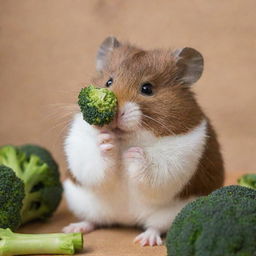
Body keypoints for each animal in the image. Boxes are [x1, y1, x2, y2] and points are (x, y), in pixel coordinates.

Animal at [62, 36, 224, 246]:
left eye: (147, 89)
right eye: (109, 81)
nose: (114, 114)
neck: (125, 140)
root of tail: (125, 219)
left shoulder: (179, 157)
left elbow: (153, 171)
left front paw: (134, 154)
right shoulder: (79, 144)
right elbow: (94, 166)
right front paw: (106, 141)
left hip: (171, 214)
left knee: (155, 226)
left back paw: (145, 240)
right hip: (84, 203)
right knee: (94, 220)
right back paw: (73, 229)